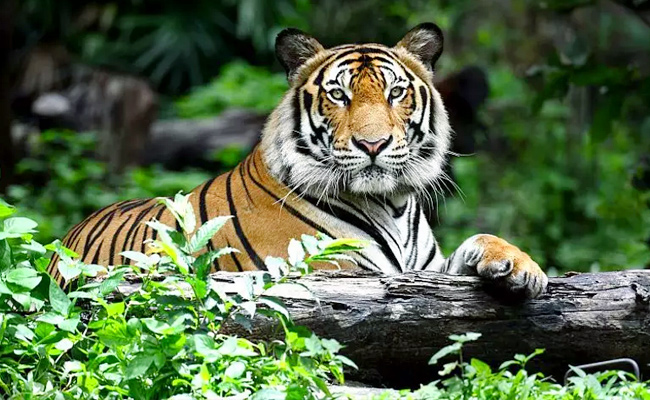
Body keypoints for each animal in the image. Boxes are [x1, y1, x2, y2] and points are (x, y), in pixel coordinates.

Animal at [48, 23, 548, 298]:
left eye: (395, 93)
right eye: (339, 95)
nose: (373, 144)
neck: (392, 204)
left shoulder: (426, 271)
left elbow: (478, 242)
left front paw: (520, 267)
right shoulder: (331, 273)